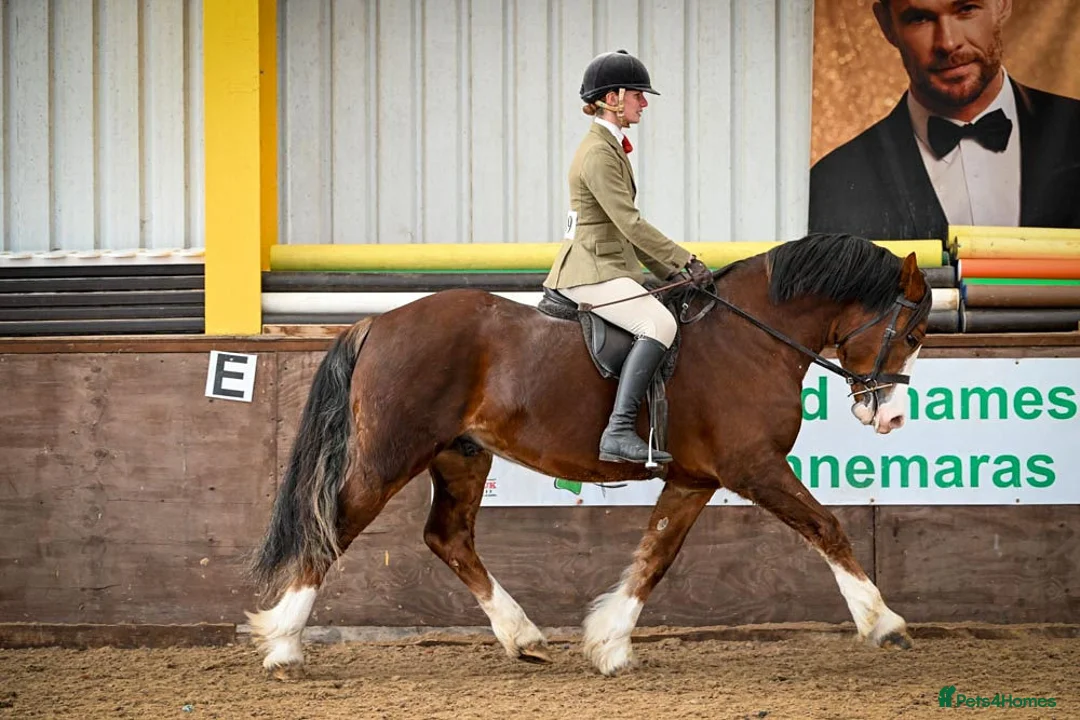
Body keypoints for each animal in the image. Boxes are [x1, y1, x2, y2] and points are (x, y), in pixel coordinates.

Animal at [245, 232, 933, 679]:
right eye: (913, 332)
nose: (893, 418)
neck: (750, 337)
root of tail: (378, 323)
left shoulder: (694, 479)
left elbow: (656, 555)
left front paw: (609, 644)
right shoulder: (753, 467)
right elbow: (826, 526)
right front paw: (883, 622)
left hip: (460, 455)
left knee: (448, 537)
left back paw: (523, 637)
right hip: (389, 455)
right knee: (334, 527)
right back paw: (282, 647)